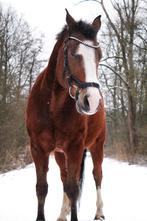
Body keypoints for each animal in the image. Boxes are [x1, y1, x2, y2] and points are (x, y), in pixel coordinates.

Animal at [25, 9, 105, 221]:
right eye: (73, 53)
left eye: (99, 56)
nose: (92, 100)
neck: (53, 106)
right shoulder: (38, 149)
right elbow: (41, 188)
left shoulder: (75, 147)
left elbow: (73, 188)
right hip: (61, 154)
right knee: (64, 178)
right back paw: (63, 212)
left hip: (97, 145)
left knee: (97, 175)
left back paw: (99, 212)